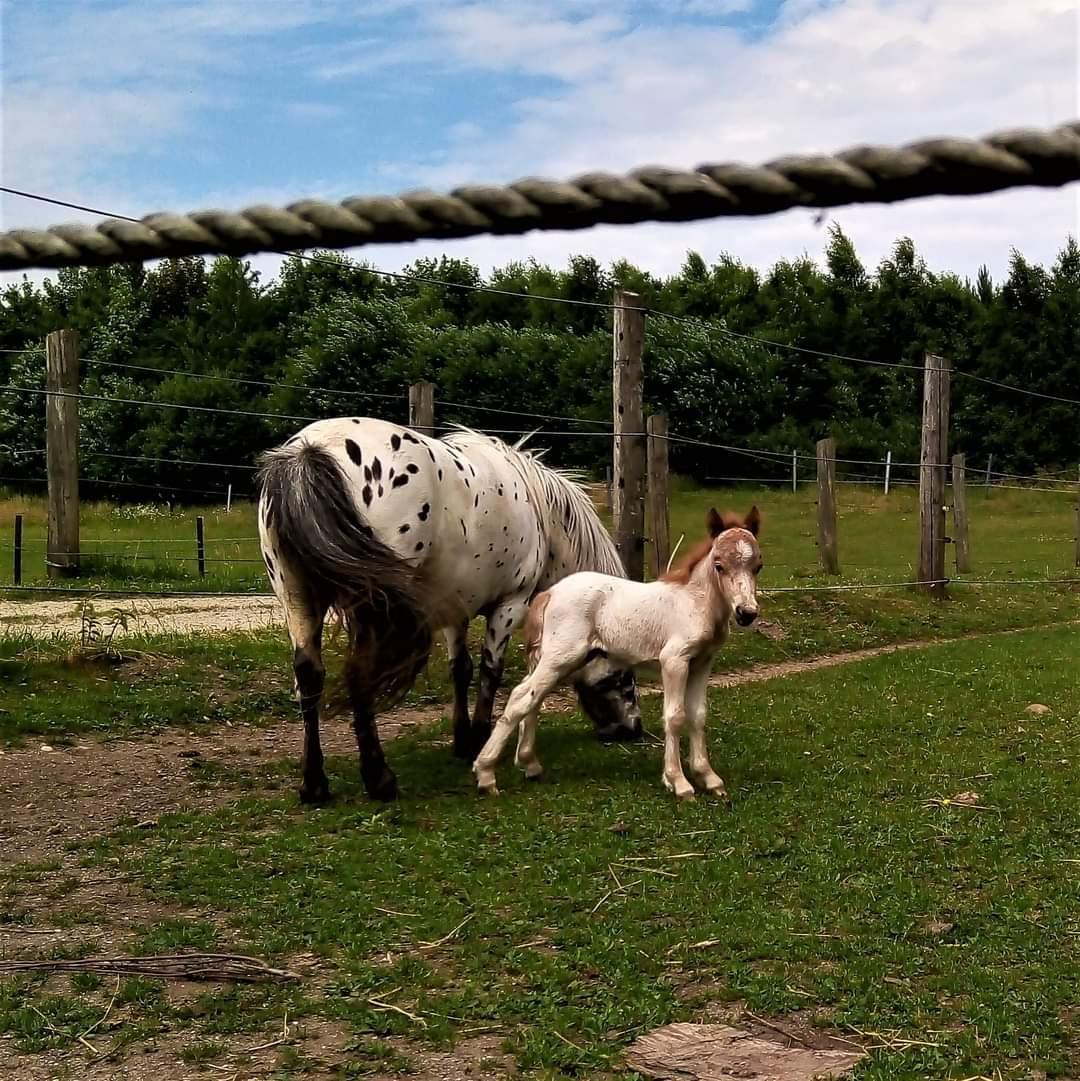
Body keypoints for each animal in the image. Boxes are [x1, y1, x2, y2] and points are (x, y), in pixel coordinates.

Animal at [255, 419, 640, 804]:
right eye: (622, 675)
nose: (632, 729)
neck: (537, 508)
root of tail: (311, 450)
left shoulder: (457, 607)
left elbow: (461, 669)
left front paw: (462, 739)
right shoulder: (510, 604)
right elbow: (490, 671)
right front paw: (481, 739)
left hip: (297, 600)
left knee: (309, 677)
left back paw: (314, 784)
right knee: (359, 675)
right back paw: (379, 779)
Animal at [473, 510, 761, 799]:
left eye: (757, 566)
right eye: (719, 564)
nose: (746, 613)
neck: (695, 602)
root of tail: (550, 592)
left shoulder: (702, 662)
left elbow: (698, 715)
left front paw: (709, 778)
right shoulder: (674, 661)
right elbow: (675, 716)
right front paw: (678, 782)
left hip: (562, 659)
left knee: (533, 697)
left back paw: (529, 764)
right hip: (561, 657)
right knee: (520, 697)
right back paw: (486, 773)